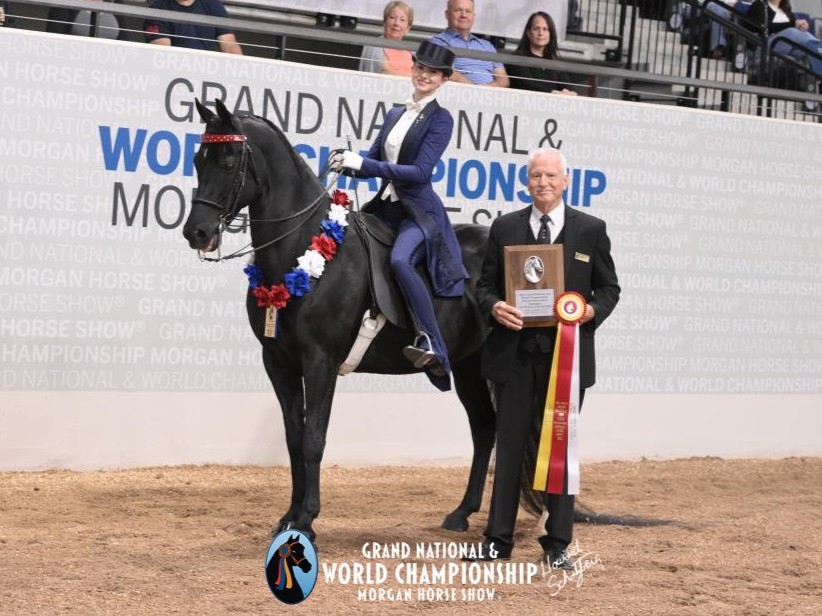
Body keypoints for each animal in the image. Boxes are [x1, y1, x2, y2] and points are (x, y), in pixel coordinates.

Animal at [182, 99, 496, 542]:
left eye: (228, 163)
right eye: (198, 160)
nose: (196, 232)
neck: (302, 253)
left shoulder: (320, 361)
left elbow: (315, 437)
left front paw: (307, 520)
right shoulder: (278, 361)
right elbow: (294, 436)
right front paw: (289, 516)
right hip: (469, 365)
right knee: (486, 429)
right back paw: (462, 513)